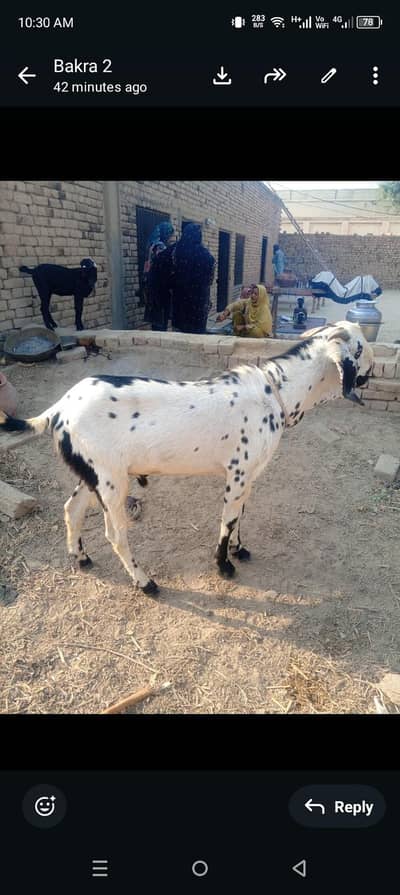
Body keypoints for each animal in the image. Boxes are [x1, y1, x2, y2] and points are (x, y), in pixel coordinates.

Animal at [0, 321, 373, 597]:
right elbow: (227, 521)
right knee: (116, 534)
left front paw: (239, 550)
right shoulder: (237, 474)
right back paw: (145, 582)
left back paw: (81, 557)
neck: (274, 391)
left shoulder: (250, 476)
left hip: (92, 475)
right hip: (111, 483)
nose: (368, 376)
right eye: (362, 350)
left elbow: (240, 516)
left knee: (72, 509)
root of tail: (60, 408)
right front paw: (224, 566)